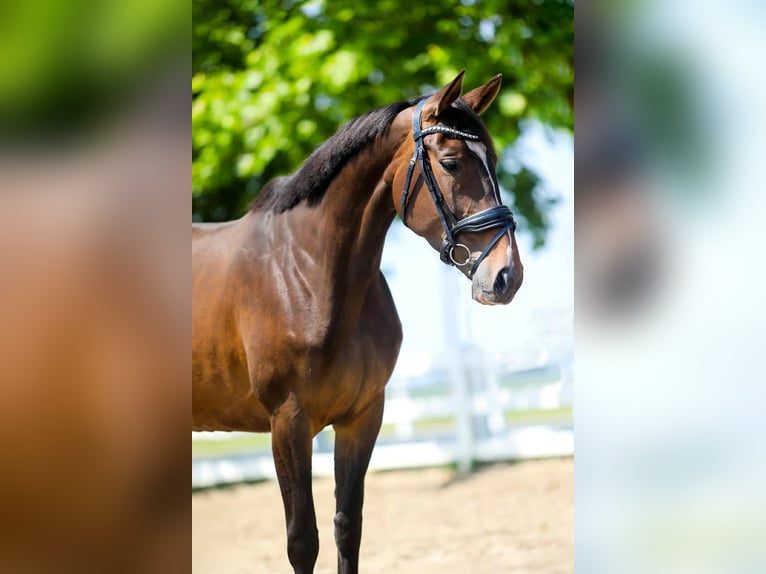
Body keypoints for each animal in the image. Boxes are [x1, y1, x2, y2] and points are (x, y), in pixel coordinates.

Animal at [192, 71, 523, 574]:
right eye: (451, 163)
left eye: (495, 161)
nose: (507, 275)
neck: (309, 271)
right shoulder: (288, 422)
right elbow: (302, 541)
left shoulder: (362, 417)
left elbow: (348, 527)